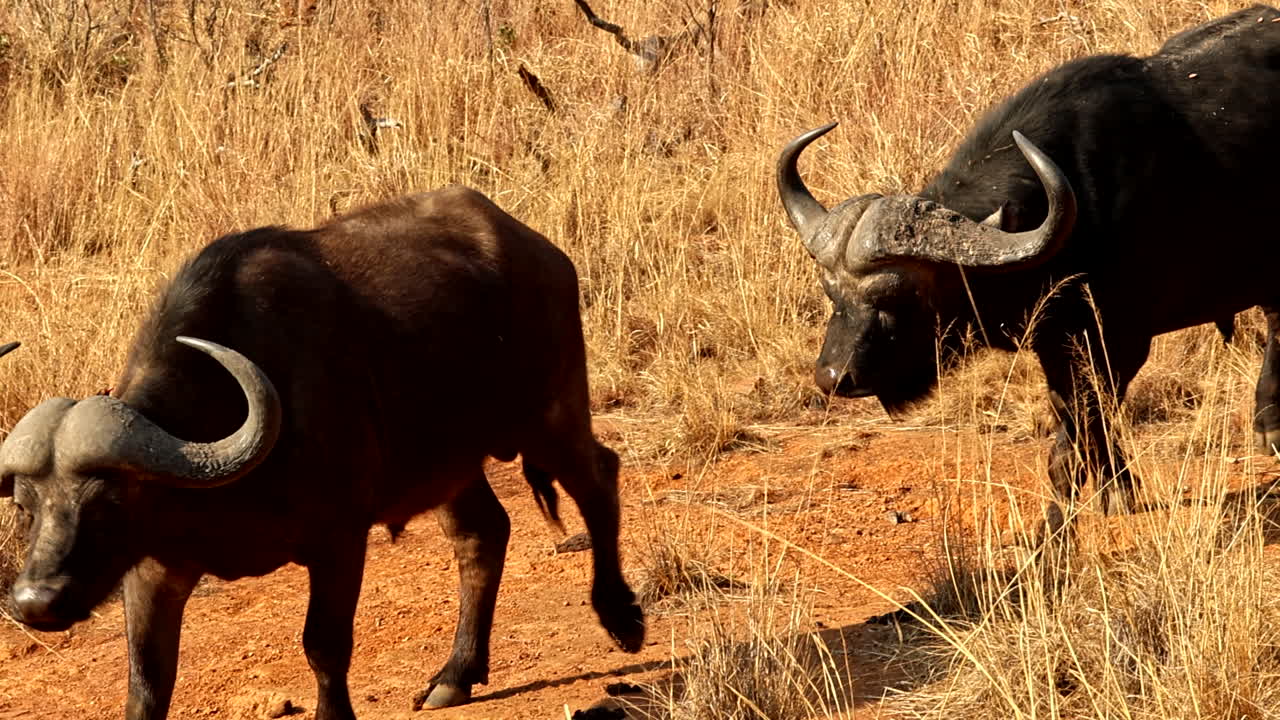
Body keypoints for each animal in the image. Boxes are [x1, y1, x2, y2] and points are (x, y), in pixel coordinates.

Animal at [0, 186, 644, 719]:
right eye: (26, 508)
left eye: (106, 502)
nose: (34, 601)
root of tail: (542, 253)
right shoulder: (156, 567)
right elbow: (147, 681)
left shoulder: (339, 540)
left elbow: (324, 646)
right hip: (450, 465)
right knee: (483, 534)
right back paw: (455, 675)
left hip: (551, 413)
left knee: (598, 478)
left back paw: (621, 617)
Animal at [778, 5, 1280, 511]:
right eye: (831, 293)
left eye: (899, 296)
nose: (833, 377)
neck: (1082, 208)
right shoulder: (1056, 341)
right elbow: (1076, 413)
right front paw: (1110, 488)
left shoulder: (1119, 342)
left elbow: (1086, 418)